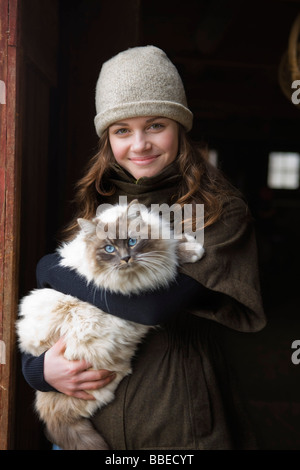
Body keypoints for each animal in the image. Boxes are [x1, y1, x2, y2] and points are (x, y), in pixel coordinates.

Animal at [16, 200, 204, 450]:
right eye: (108, 249)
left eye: (132, 242)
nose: (126, 259)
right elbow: (171, 259)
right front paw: (192, 250)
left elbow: (170, 245)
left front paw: (186, 241)